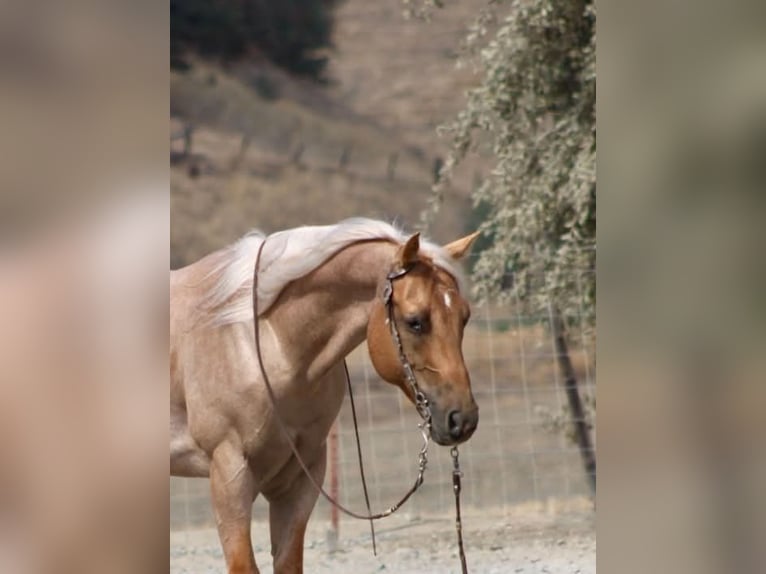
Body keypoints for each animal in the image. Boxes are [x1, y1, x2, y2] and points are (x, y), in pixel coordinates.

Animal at [170, 218, 480, 574]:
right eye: (415, 322)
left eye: (464, 317)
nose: (462, 419)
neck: (267, 341)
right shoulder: (229, 477)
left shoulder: (300, 480)